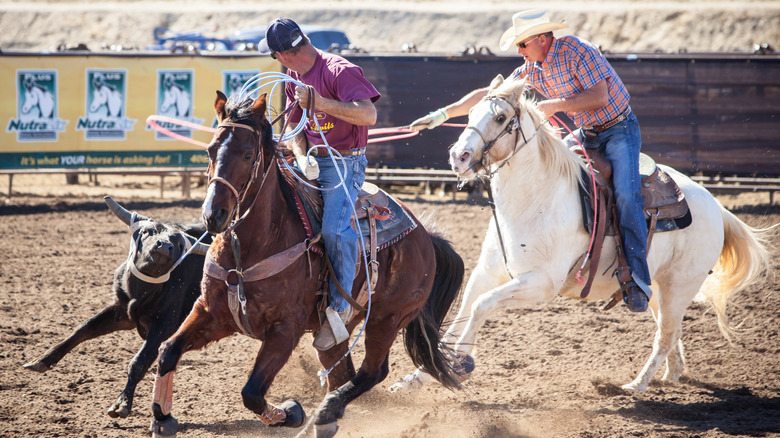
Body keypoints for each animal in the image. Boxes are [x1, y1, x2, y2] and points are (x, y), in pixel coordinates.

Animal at [151, 92, 464, 438]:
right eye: (209, 150)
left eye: (248, 154)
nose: (214, 214)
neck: (250, 247)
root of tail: (425, 237)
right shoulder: (211, 313)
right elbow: (167, 351)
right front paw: (162, 418)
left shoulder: (284, 330)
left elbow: (251, 392)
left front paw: (291, 412)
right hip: (334, 334)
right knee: (342, 372)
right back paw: (326, 419)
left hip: (387, 319)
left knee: (372, 372)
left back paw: (326, 411)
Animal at [394, 74, 772, 394]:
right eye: (471, 112)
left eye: (501, 118)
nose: (459, 156)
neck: (536, 199)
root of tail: (716, 206)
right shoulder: (488, 272)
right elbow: (461, 314)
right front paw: (419, 377)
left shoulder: (541, 283)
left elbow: (480, 307)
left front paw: (461, 362)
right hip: (658, 287)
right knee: (671, 332)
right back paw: (670, 375)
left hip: (680, 286)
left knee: (664, 336)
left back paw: (636, 385)